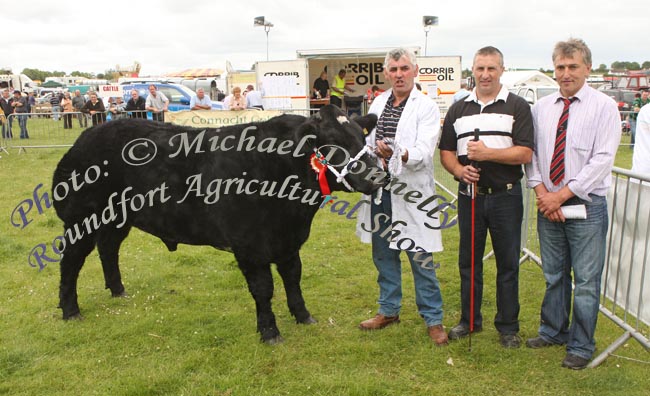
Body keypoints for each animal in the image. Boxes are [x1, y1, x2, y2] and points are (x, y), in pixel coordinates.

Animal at [54, 105, 384, 344]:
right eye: (332, 144)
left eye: (361, 137)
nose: (379, 176)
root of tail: (88, 135)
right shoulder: (250, 245)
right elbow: (263, 289)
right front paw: (270, 332)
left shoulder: (289, 242)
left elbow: (293, 279)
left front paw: (304, 316)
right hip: (81, 218)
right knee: (71, 261)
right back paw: (70, 310)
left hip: (117, 219)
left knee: (108, 249)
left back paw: (117, 290)